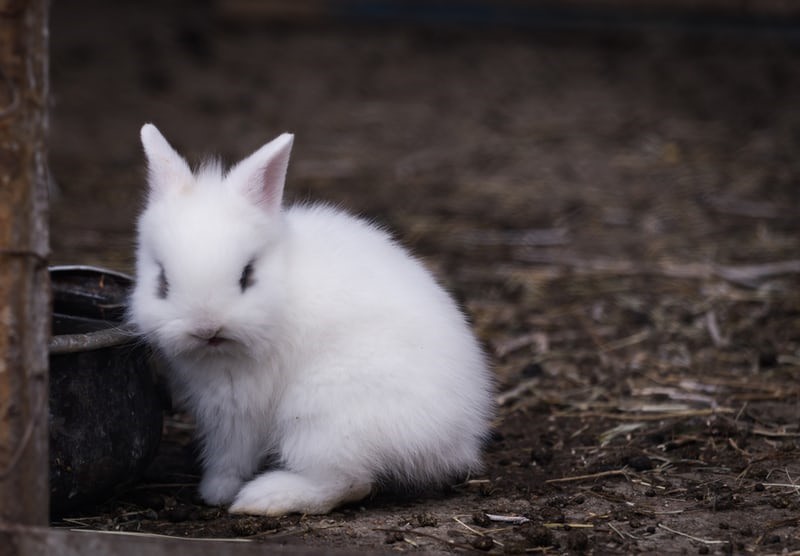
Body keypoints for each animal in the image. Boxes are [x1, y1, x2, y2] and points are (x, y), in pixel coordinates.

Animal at [130, 123, 495, 516]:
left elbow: (230, 456)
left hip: (321, 418)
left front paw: (216, 492)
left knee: (347, 482)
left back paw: (265, 498)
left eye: (247, 275)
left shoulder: (237, 407)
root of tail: (456, 441)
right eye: (162, 280)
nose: (207, 328)